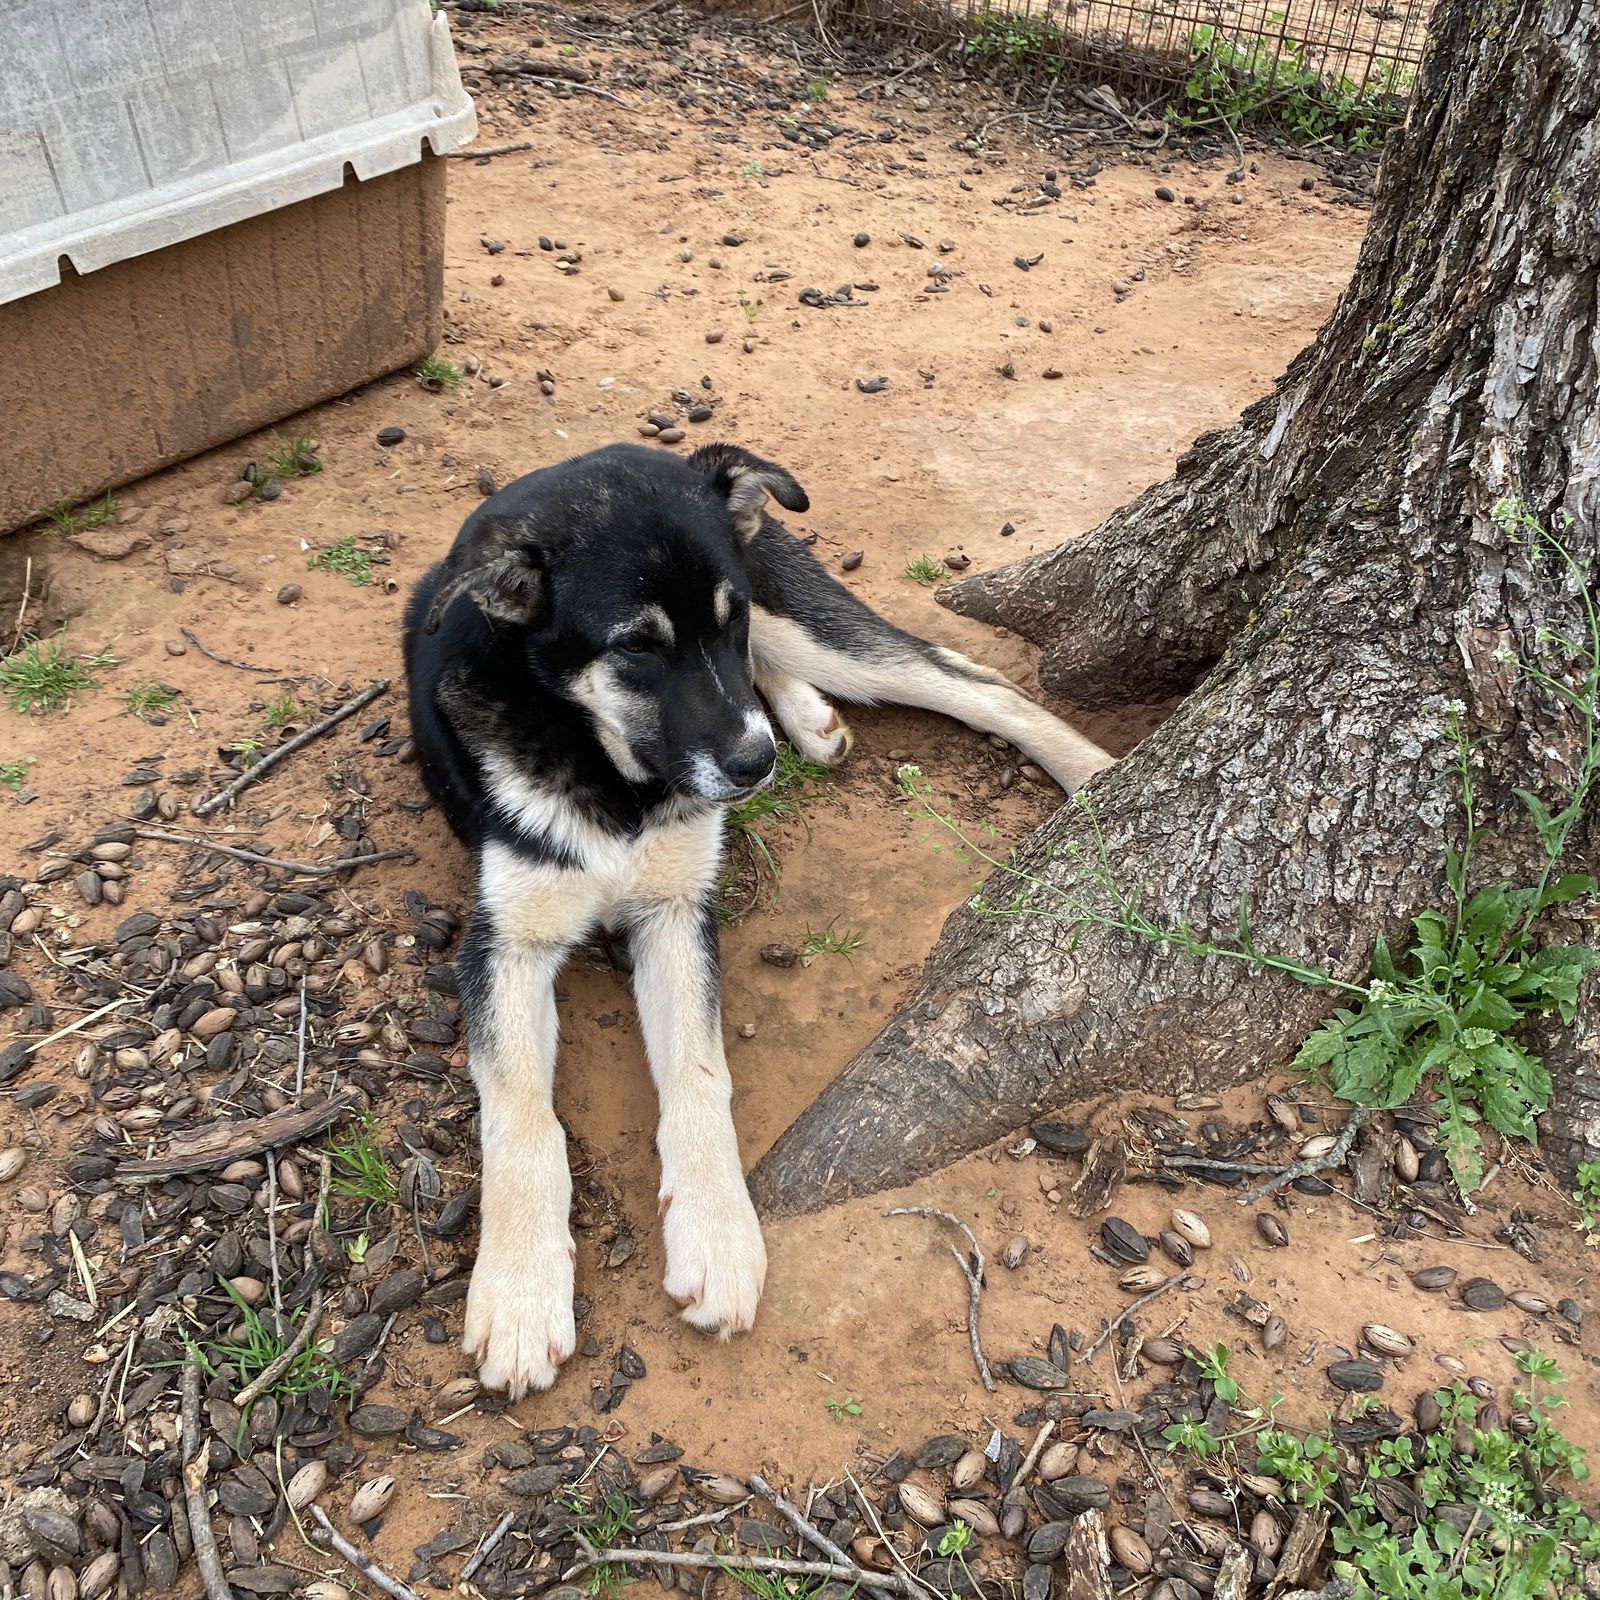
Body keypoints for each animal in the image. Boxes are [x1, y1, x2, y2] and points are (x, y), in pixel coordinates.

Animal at [403, 444, 1113, 1395]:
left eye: (725, 618)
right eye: (636, 647)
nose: (753, 765)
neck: (608, 765)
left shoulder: (677, 911)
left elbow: (700, 1077)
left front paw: (716, 1235)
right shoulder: (506, 941)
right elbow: (521, 1117)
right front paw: (520, 1295)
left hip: (803, 620)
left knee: (973, 680)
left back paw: (1094, 775)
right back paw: (809, 721)